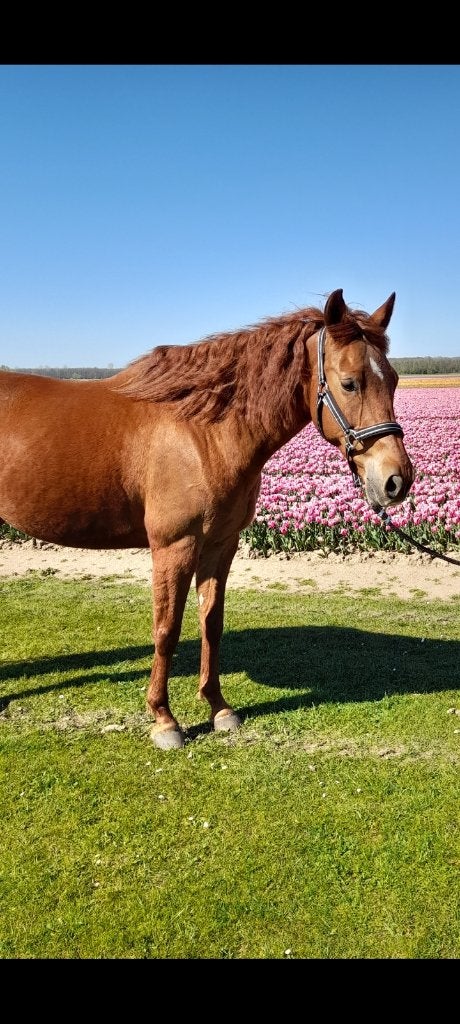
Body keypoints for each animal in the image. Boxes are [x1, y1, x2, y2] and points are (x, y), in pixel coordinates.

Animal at [0, 288, 414, 749]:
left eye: (394, 380)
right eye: (349, 383)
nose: (397, 480)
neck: (201, 433)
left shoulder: (220, 543)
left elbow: (210, 623)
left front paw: (218, 707)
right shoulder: (174, 547)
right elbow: (166, 629)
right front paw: (164, 719)